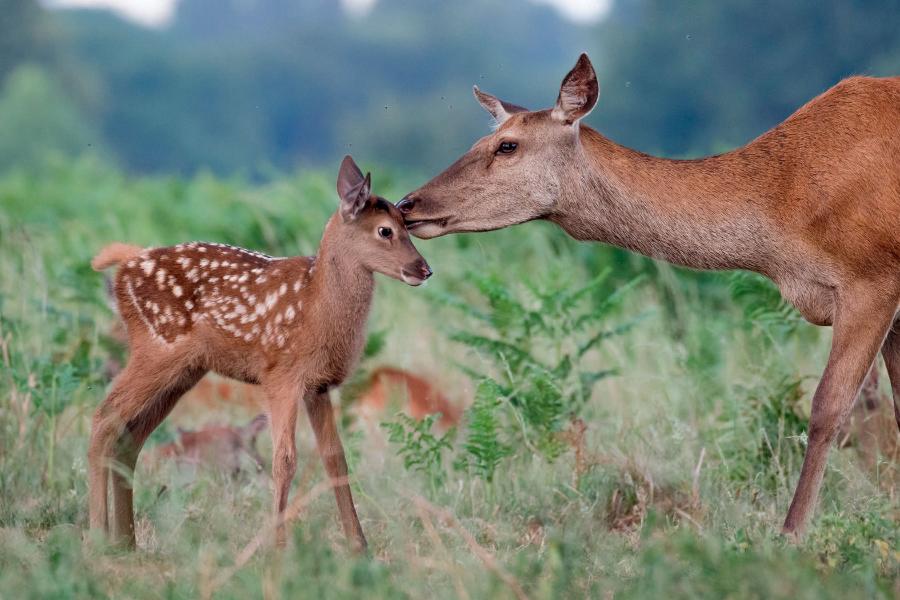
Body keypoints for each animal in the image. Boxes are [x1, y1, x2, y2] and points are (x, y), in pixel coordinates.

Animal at [90, 156, 432, 552]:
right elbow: (284, 460)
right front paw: (278, 548)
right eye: (385, 231)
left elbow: (336, 459)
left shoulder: (318, 386)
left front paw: (359, 546)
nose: (424, 269)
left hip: (182, 370)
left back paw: (126, 542)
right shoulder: (281, 376)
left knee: (129, 436)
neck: (317, 307)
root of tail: (125, 265)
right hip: (156, 349)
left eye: (407, 225)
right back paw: (97, 534)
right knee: (104, 417)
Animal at [400, 54, 900, 536]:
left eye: (507, 145)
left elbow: (827, 408)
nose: (407, 205)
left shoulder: (871, 280)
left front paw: (792, 535)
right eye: (478, 141)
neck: (785, 215)